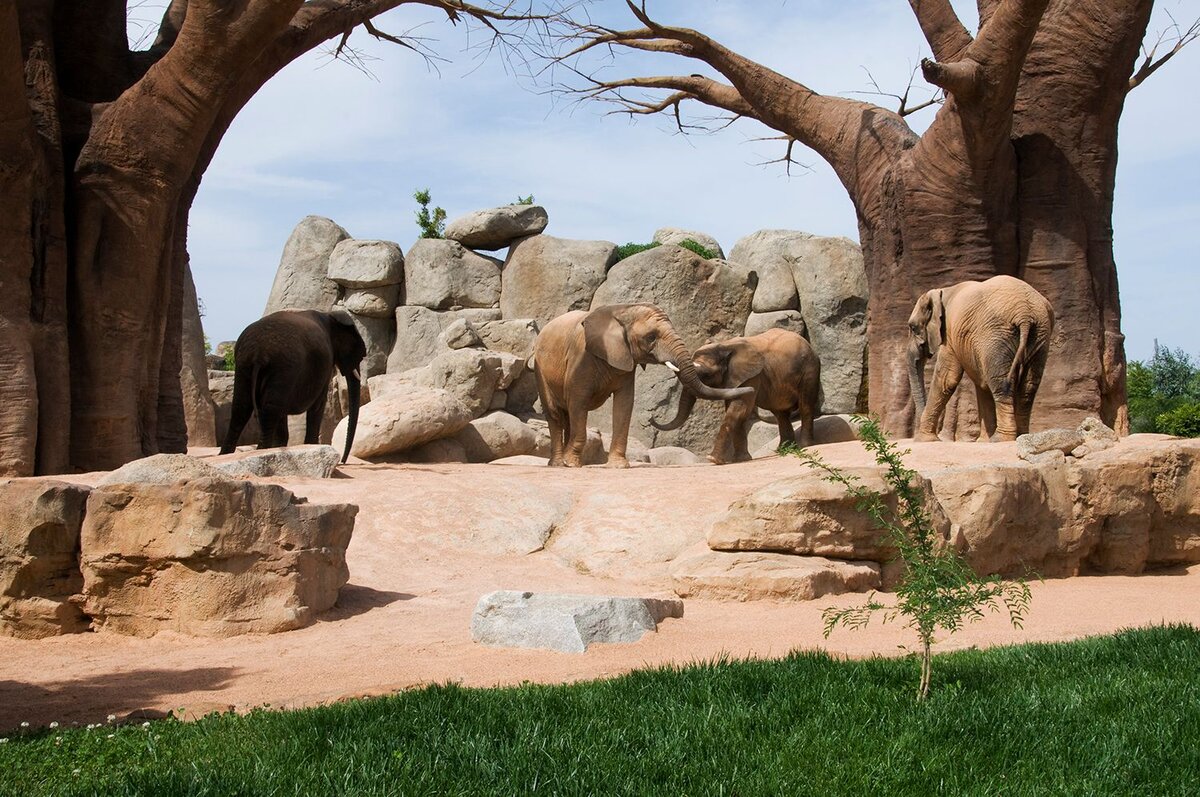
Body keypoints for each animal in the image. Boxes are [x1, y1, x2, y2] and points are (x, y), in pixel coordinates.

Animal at [218, 309, 362, 460]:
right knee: (270, 411)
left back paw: (226, 454)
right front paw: (311, 445)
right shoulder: (326, 364)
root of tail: (258, 353)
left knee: (242, 408)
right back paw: (263, 451)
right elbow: (318, 405)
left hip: (244, 365)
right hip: (283, 366)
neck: (330, 315)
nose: (343, 461)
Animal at [532, 303, 753, 468]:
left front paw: (618, 466)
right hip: (540, 368)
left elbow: (624, 403)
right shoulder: (581, 357)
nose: (751, 389)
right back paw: (559, 463)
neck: (622, 309)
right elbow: (579, 401)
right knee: (556, 414)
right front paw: (572, 464)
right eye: (651, 337)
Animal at [652, 326, 820, 463]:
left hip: (809, 369)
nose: (651, 418)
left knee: (805, 405)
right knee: (780, 414)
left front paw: (713, 460)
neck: (725, 345)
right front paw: (741, 459)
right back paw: (784, 450)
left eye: (706, 375)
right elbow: (738, 410)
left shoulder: (751, 375)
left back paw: (805, 445)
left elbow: (738, 409)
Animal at [902, 276, 1056, 441]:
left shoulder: (950, 332)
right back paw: (1020, 436)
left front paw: (925, 440)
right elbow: (981, 382)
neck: (941, 292)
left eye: (913, 328)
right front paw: (983, 440)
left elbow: (947, 378)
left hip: (996, 335)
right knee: (1028, 386)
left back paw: (999, 439)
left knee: (1000, 382)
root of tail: (1025, 314)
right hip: (1040, 334)